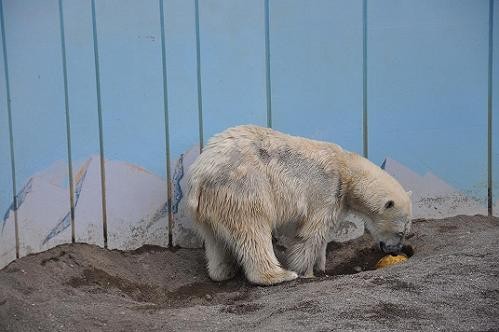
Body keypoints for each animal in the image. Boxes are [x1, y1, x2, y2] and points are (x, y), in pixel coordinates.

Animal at [186, 124, 412, 286]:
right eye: (401, 232)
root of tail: (200, 174)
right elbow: (311, 233)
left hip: (209, 205)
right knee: (253, 229)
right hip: (243, 187)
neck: (347, 169)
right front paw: (307, 272)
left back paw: (223, 271)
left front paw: (321, 265)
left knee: (215, 239)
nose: (395, 250)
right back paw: (279, 275)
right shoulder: (327, 190)